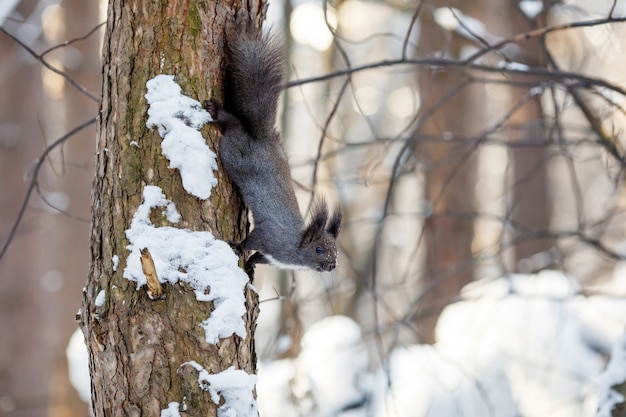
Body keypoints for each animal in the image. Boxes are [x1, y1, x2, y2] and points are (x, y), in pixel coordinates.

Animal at [204, 28, 342, 270]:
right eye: (319, 249)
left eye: (336, 251)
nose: (333, 265)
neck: (295, 251)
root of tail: (264, 138)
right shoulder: (270, 236)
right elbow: (252, 240)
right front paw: (238, 247)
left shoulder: (271, 257)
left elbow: (259, 257)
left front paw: (250, 265)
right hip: (236, 155)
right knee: (235, 127)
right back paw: (219, 113)